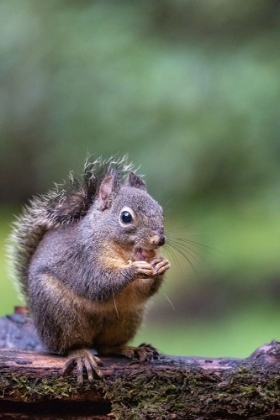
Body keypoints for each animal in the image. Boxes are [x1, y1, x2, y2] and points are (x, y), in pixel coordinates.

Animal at [8, 156, 171, 382]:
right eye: (126, 217)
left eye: (161, 211)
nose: (159, 240)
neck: (122, 252)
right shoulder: (83, 258)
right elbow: (97, 283)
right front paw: (134, 269)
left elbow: (142, 290)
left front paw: (160, 266)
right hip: (59, 314)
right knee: (70, 346)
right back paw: (81, 355)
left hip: (127, 317)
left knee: (106, 347)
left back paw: (132, 349)